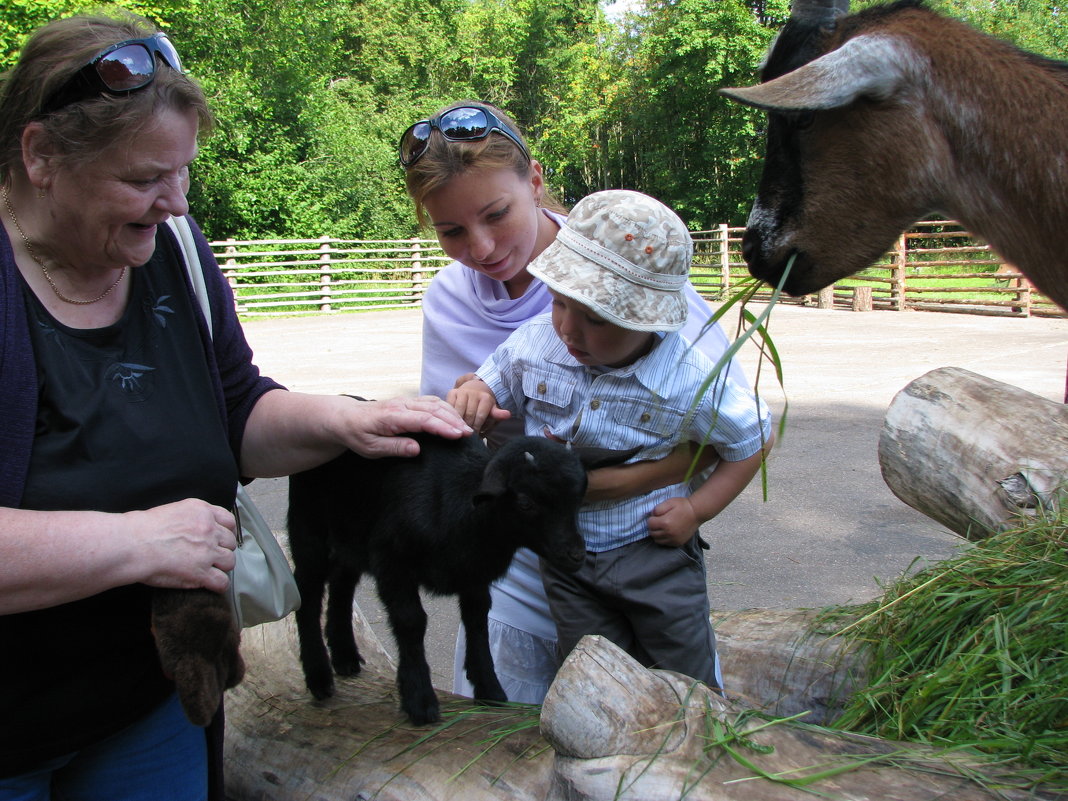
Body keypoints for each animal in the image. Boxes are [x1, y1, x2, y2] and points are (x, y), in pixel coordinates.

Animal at [288, 433, 619, 726]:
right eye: (525, 502)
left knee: (342, 584)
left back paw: (345, 657)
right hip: (308, 527)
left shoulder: (472, 574)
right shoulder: (392, 561)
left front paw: (490, 688)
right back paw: (319, 676)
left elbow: (477, 620)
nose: (576, 555)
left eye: (578, 498)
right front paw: (420, 700)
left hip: (351, 535)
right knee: (307, 593)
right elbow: (411, 621)